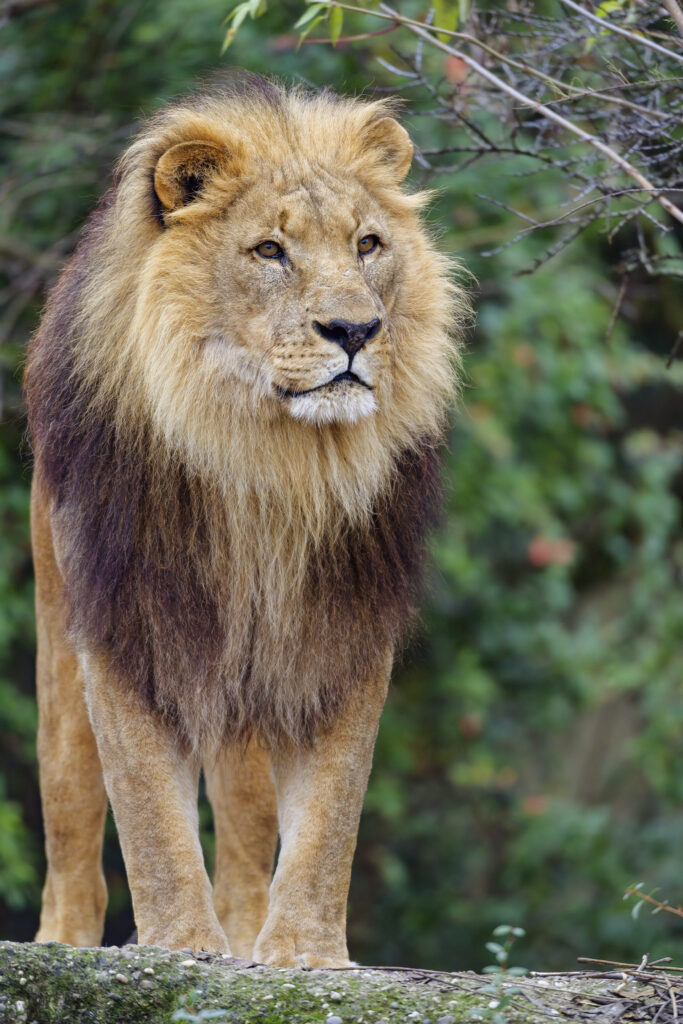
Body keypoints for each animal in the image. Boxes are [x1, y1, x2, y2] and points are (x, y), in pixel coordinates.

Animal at [24, 73, 465, 967]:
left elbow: (330, 814)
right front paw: (182, 946)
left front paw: (300, 953)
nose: (354, 329)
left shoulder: (343, 628)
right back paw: (67, 940)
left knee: (246, 827)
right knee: (71, 811)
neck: (268, 463)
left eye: (368, 244)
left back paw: (244, 932)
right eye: (269, 251)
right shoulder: (126, 621)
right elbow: (149, 816)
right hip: (60, 632)